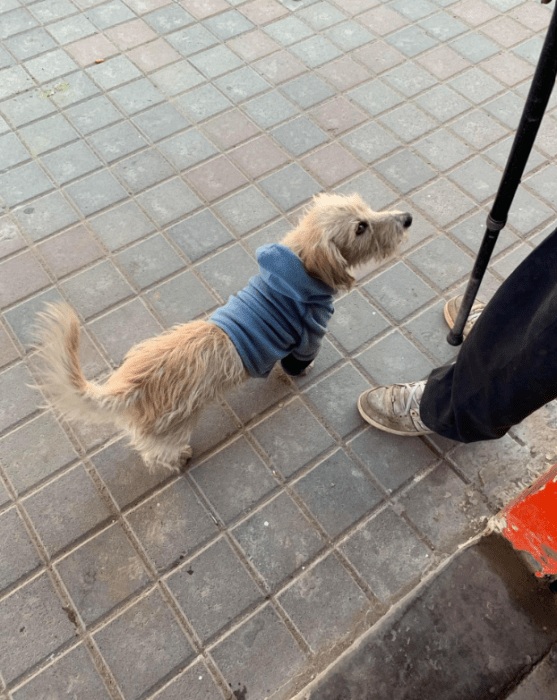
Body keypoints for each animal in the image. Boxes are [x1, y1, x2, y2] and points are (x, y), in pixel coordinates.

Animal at [32, 194, 410, 474]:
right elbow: (298, 362)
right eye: (361, 227)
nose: (407, 217)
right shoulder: (309, 338)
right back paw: (178, 459)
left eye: (364, 206)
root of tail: (129, 385)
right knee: (155, 453)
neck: (298, 269)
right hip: (173, 428)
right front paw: (302, 373)